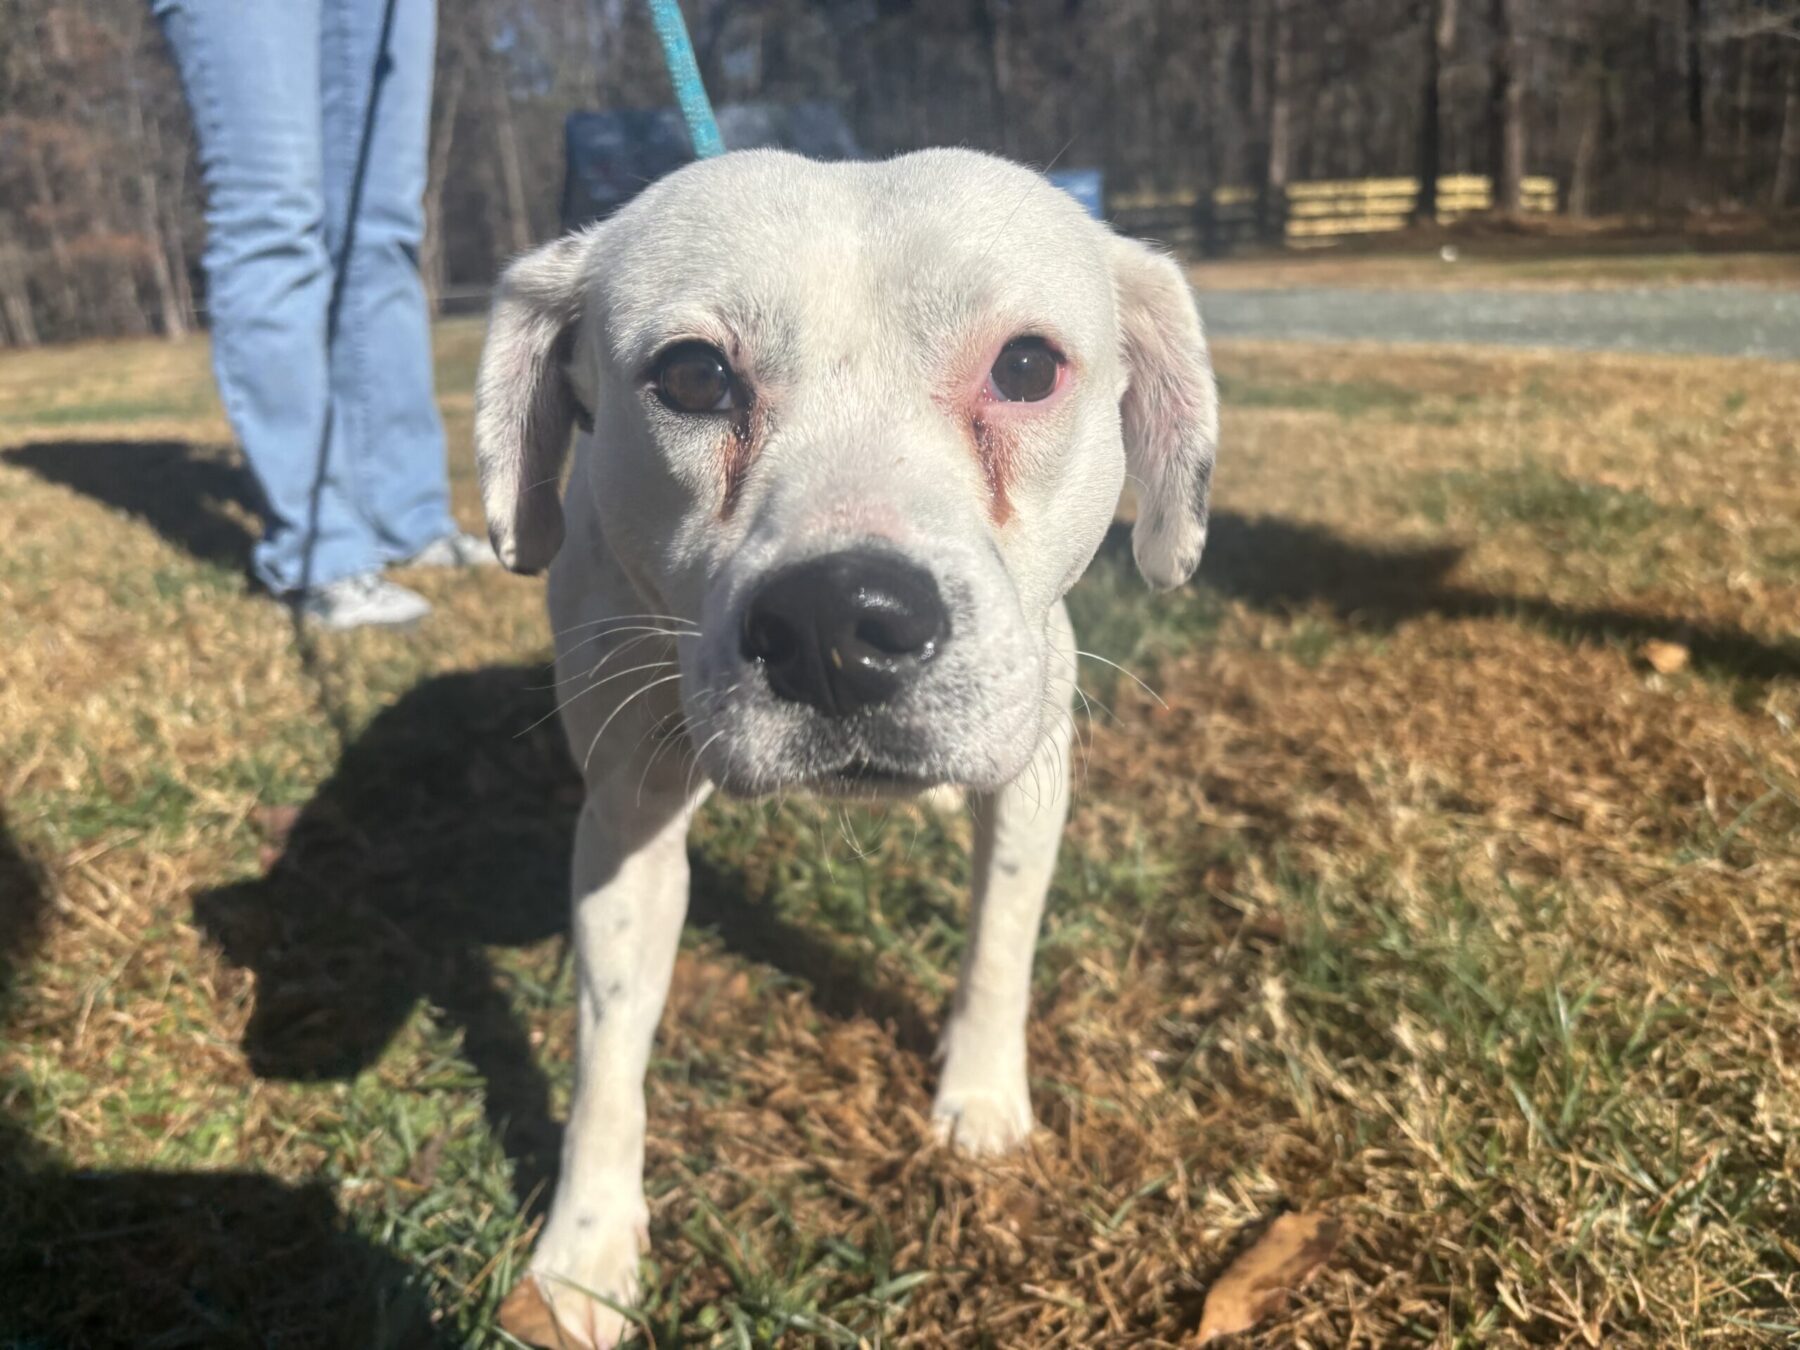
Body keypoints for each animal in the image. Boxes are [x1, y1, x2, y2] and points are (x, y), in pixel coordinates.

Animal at [473, 147, 1217, 1347]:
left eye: (1026, 365)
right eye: (693, 377)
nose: (837, 622)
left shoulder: (1033, 766)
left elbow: (999, 941)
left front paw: (980, 1100)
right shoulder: (628, 825)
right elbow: (607, 1053)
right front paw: (581, 1258)